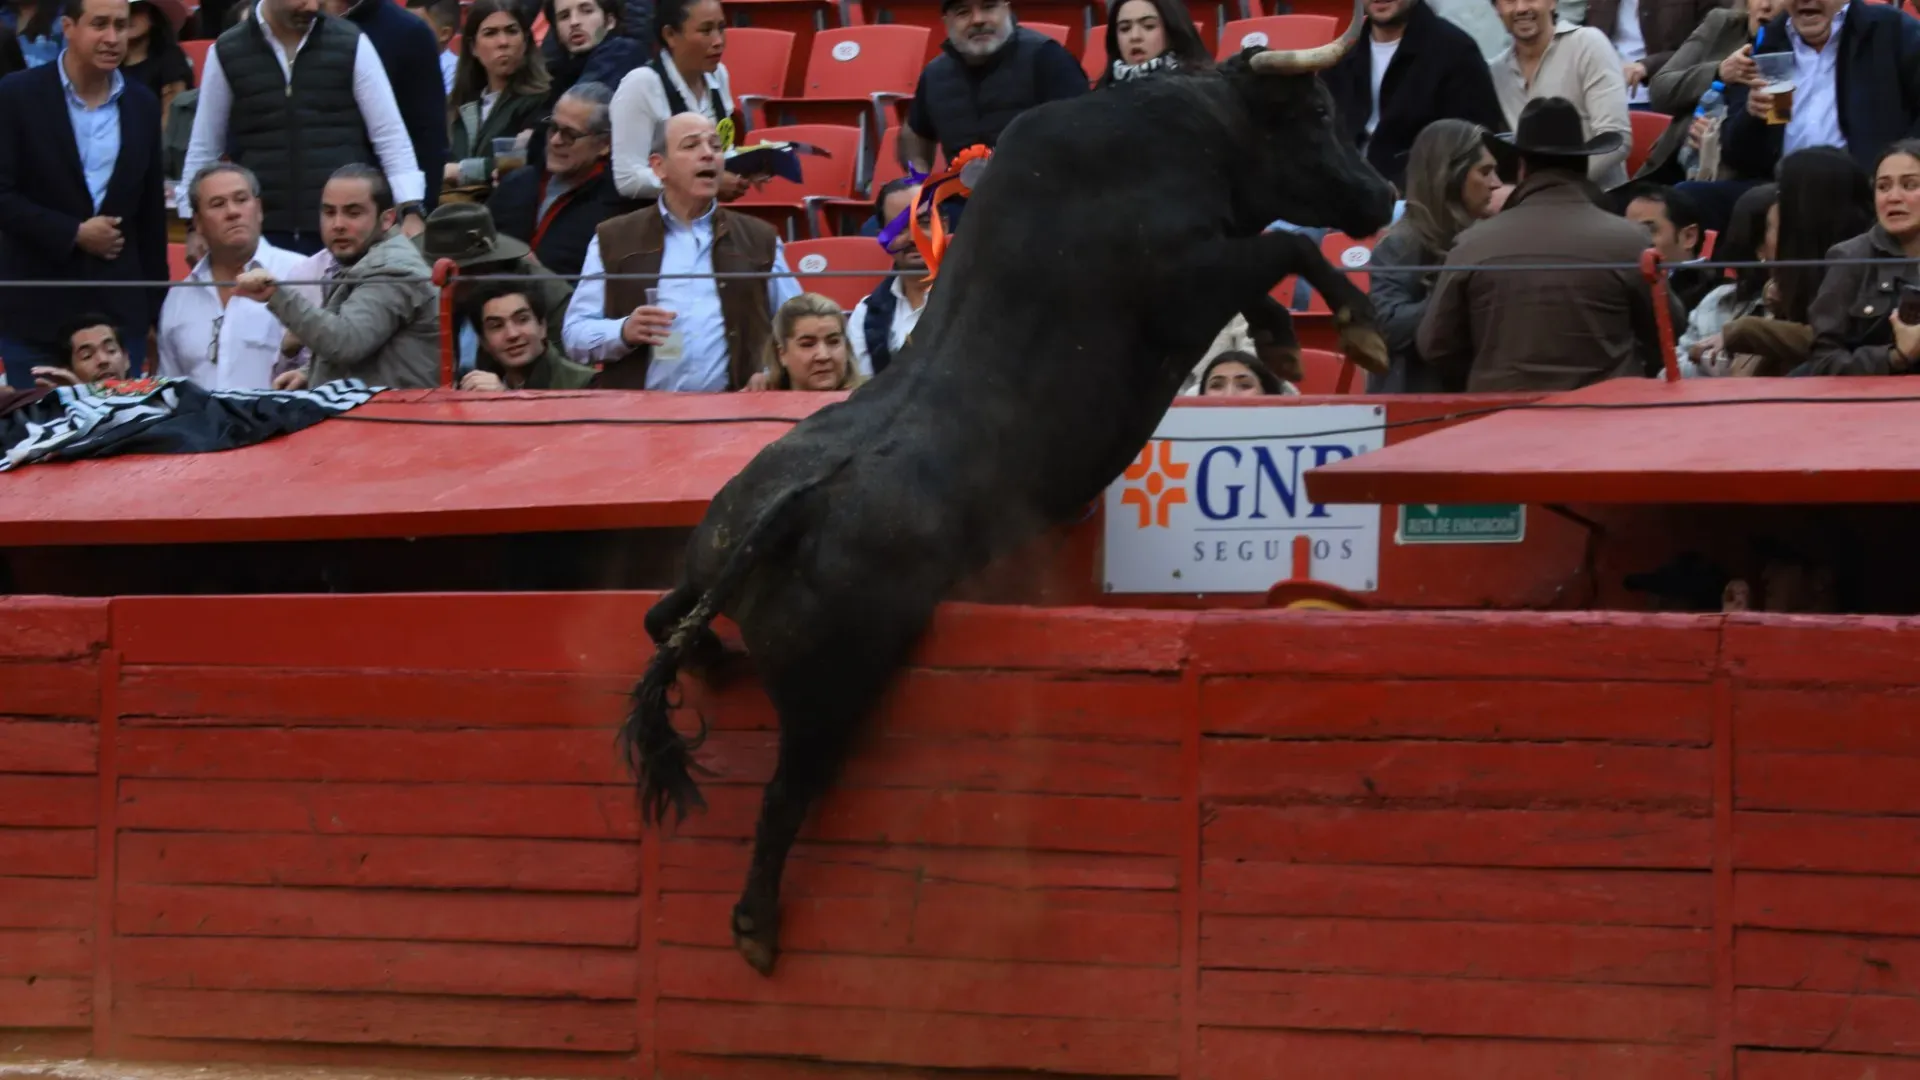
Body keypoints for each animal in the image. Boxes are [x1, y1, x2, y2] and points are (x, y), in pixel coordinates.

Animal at [622, 8, 1390, 972]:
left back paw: (717, 660)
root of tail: (785, 515)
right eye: (1317, 113)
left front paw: (1289, 342)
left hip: (707, 564)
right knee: (786, 791)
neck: (1182, 133)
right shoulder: (1184, 283)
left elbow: (1272, 268)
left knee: (664, 619)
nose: (1380, 197)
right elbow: (1281, 245)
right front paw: (1357, 331)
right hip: (832, 684)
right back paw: (757, 924)